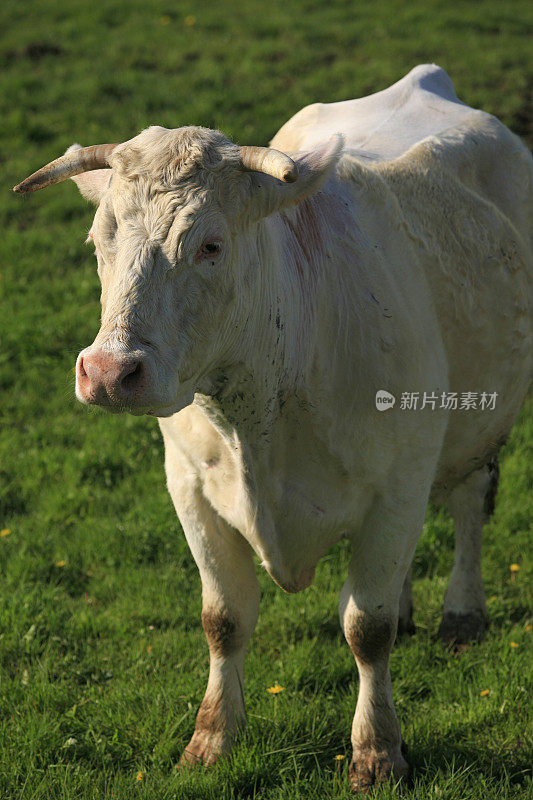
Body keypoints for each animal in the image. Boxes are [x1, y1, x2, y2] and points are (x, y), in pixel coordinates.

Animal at [14, 65, 528, 792]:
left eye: (209, 244)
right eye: (97, 242)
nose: (110, 373)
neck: (258, 415)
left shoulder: (398, 483)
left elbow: (365, 628)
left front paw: (377, 753)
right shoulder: (190, 488)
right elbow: (224, 619)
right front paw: (210, 740)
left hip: (479, 419)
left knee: (466, 502)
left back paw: (462, 611)